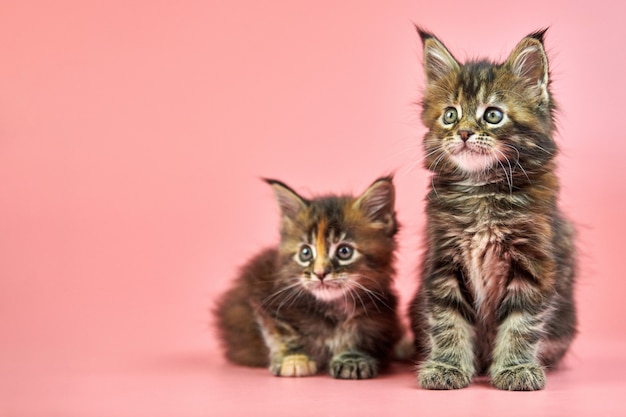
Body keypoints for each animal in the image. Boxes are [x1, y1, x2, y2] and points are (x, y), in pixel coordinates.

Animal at [213, 177, 400, 378]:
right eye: (305, 252)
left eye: (344, 251)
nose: (320, 273)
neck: (333, 309)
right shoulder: (263, 296)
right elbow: (280, 332)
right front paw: (293, 359)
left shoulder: (380, 315)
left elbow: (361, 335)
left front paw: (352, 358)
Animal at [410, 28, 576, 390]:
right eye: (450, 115)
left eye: (492, 115)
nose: (463, 133)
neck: (482, 192)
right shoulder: (443, 261)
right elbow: (447, 320)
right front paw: (446, 366)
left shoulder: (533, 263)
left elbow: (521, 324)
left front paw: (516, 368)